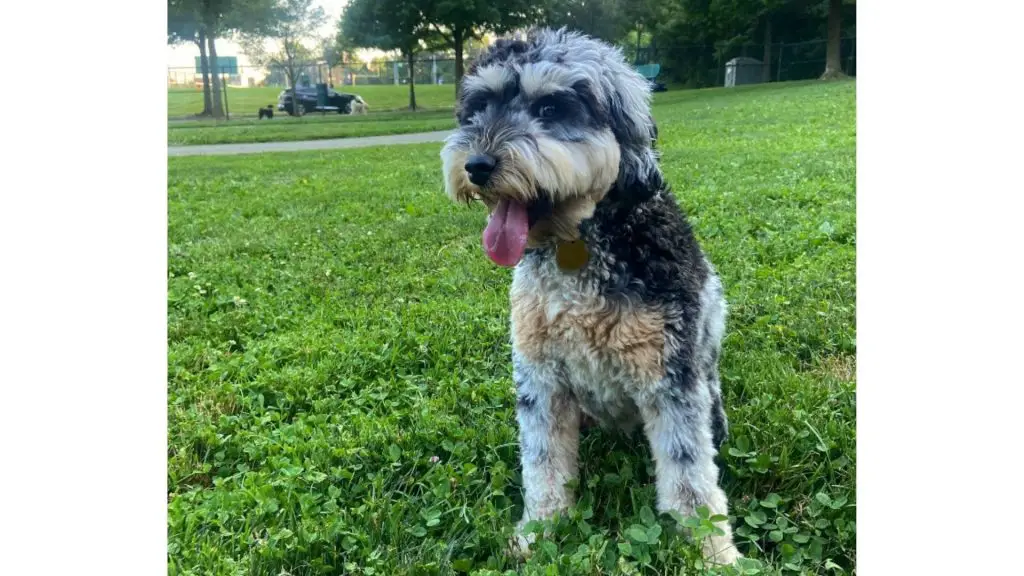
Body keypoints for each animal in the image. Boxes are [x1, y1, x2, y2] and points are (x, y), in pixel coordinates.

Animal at [440, 29, 737, 561]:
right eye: (479, 107)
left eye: (551, 108)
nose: (476, 164)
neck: (578, 240)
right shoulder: (540, 377)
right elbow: (543, 465)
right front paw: (538, 532)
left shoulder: (670, 379)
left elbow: (690, 479)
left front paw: (714, 552)